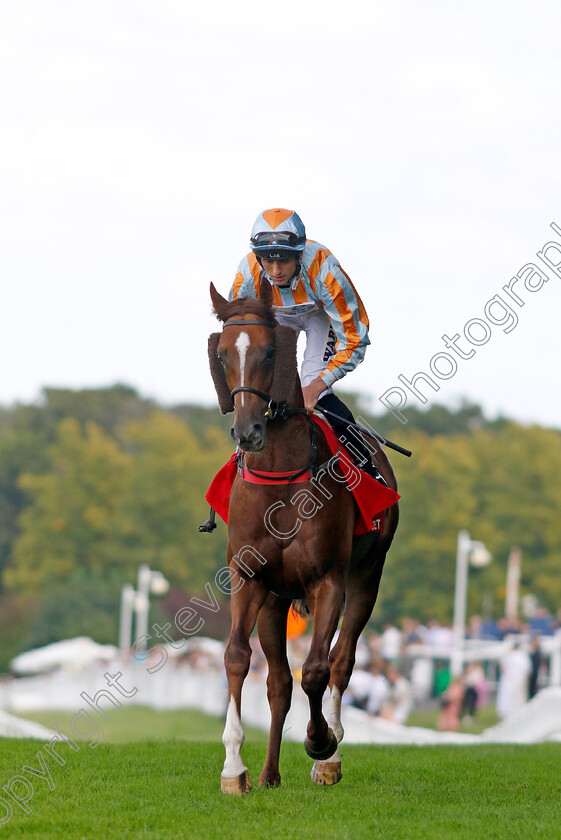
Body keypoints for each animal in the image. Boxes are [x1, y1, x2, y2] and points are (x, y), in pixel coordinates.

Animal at [207, 278, 398, 796]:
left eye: (271, 351)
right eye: (223, 353)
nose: (248, 431)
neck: (281, 479)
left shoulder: (328, 579)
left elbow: (317, 668)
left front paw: (321, 741)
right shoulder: (248, 577)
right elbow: (237, 658)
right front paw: (235, 768)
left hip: (367, 577)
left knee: (341, 660)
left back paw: (329, 756)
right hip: (275, 601)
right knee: (278, 683)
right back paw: (270, 773)